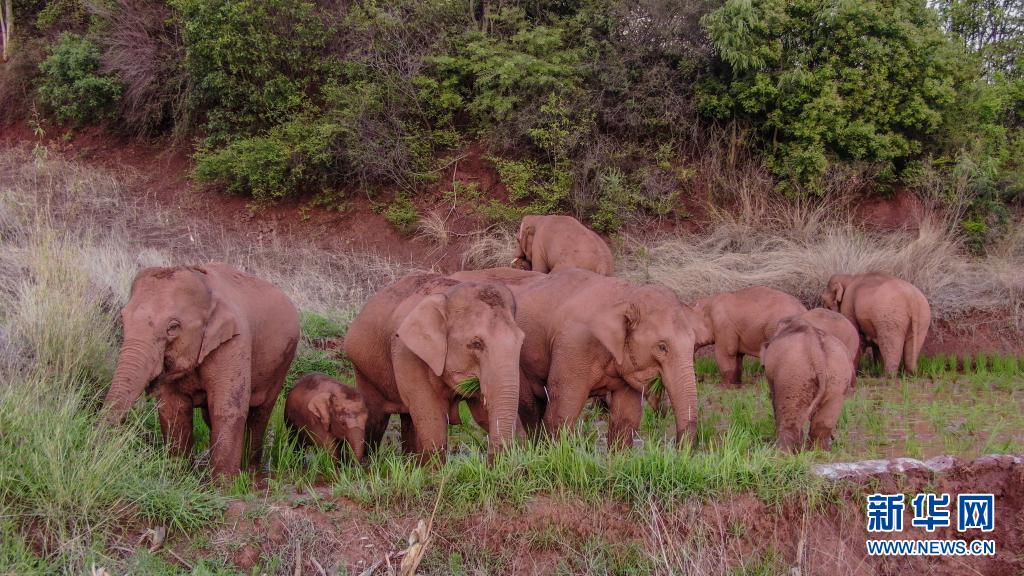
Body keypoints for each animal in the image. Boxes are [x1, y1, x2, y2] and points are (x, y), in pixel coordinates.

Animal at [344, 270, 524, 459]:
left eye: (521, 341)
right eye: (476, 344)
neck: (448, 295)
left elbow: (482, 415)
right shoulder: (408, 354)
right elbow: (433, 426)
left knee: (409, 420)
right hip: (364, 369)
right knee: (375, 420)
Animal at [452, 266, 708, 446]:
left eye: (694, 344)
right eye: (662, 347)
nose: (679, 450)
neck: (626, 294)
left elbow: (627, 416)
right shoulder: (574, 345)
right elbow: (563, 411)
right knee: (531, 408)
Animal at [761, 315, 856, 450]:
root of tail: (816, 351)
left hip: (794, 373)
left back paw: (781, 451)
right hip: (838, 376)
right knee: (824, 420)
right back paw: (818, 451)